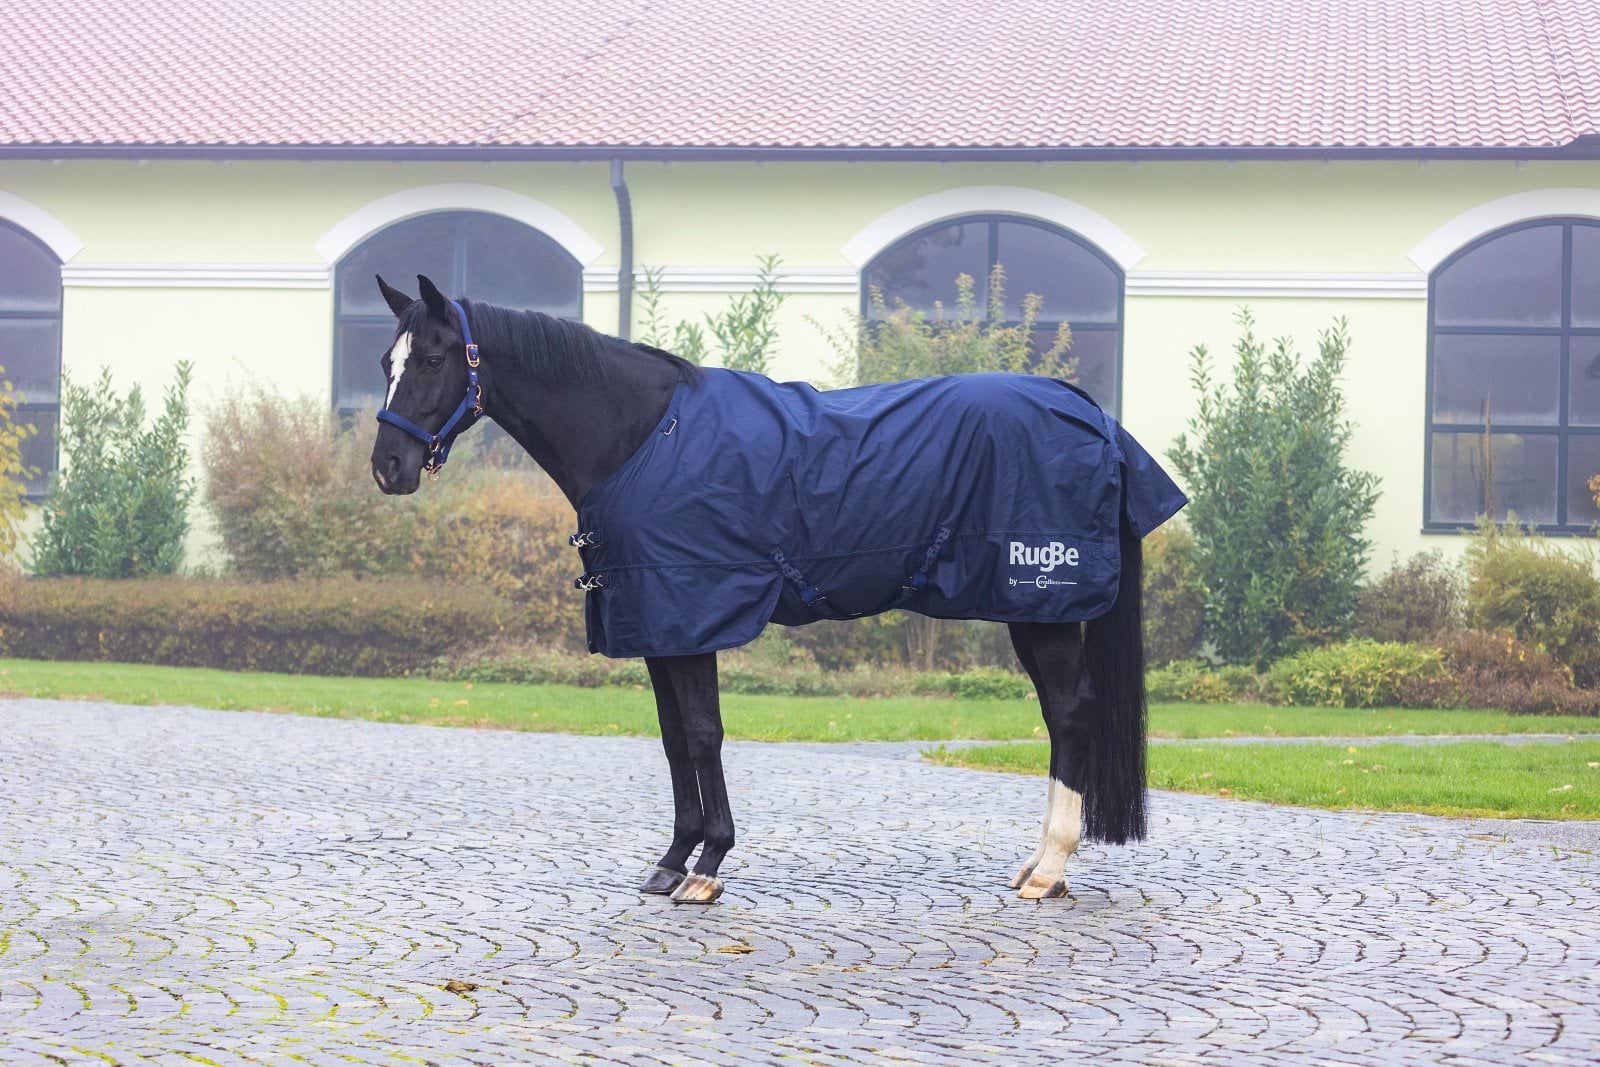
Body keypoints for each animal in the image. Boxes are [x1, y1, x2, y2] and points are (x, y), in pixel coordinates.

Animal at [369, 273, 1185, 904]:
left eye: (435, 357)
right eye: (386, 359)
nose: (388, 468)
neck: (641, 437)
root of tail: (1092, 414)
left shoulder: (693, 613)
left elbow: (704, 733)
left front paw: (707, 867)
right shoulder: (656, 622)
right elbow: (673, 739)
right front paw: (670, 862)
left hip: (1042, 606)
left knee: (1071, 715)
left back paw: (1048, 869)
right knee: (1060, 717)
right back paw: (1040, 864)